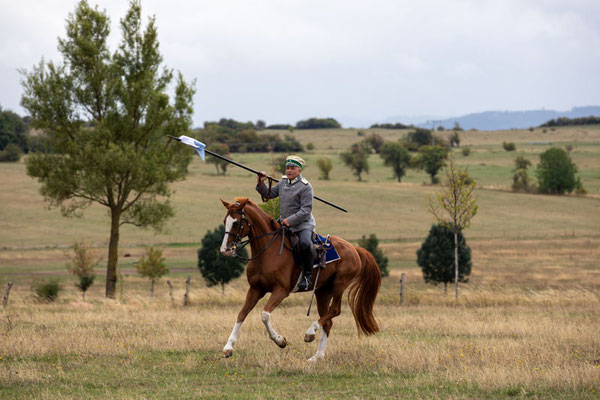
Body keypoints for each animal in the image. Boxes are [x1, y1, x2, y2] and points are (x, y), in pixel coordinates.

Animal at [219, 198, 380, 362]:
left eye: (236, 223)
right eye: (225, 221)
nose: (225, 250)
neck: (267, 252)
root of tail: (354, 248)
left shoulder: (281, 291)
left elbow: (264, 315)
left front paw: (280, 341)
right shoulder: (255, 289)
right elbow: (242, 314)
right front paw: (228, 348)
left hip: (339, 284)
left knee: (335, 310)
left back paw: (310, 333)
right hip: (323, 292)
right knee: (328, 322)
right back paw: (316, 357)